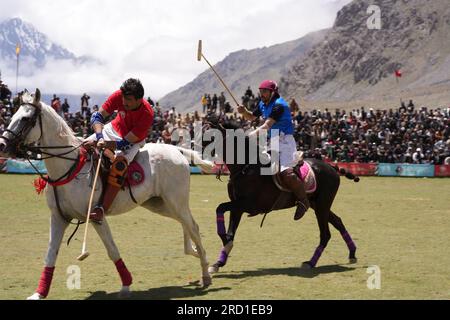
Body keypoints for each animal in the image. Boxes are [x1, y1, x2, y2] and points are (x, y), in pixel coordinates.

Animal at [0, 89, 215, 298]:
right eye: (13, 115)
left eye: (26, 119)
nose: (2, 145)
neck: (68, 167)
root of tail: (177, 150)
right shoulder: (59, 217)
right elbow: (51, 253)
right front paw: (39, 293)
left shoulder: (96, 217)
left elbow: (112, 250)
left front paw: (126, 285)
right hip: (159, 203)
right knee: (184, 223)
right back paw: (194, 252)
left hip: (175, 200)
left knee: (193, 226)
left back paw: (205, 272)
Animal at [204, 116, 358, 274]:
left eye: (210, 134)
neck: (245, 168)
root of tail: (332, 166)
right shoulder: (237, 206)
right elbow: (230, 230)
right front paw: (218, 262)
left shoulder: (249, 205)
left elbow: (220, 208)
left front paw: (224, 240)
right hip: (318, 205)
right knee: (338, 221)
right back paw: (352, 254)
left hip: (322, 205)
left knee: (325, 234)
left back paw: (310, 262)